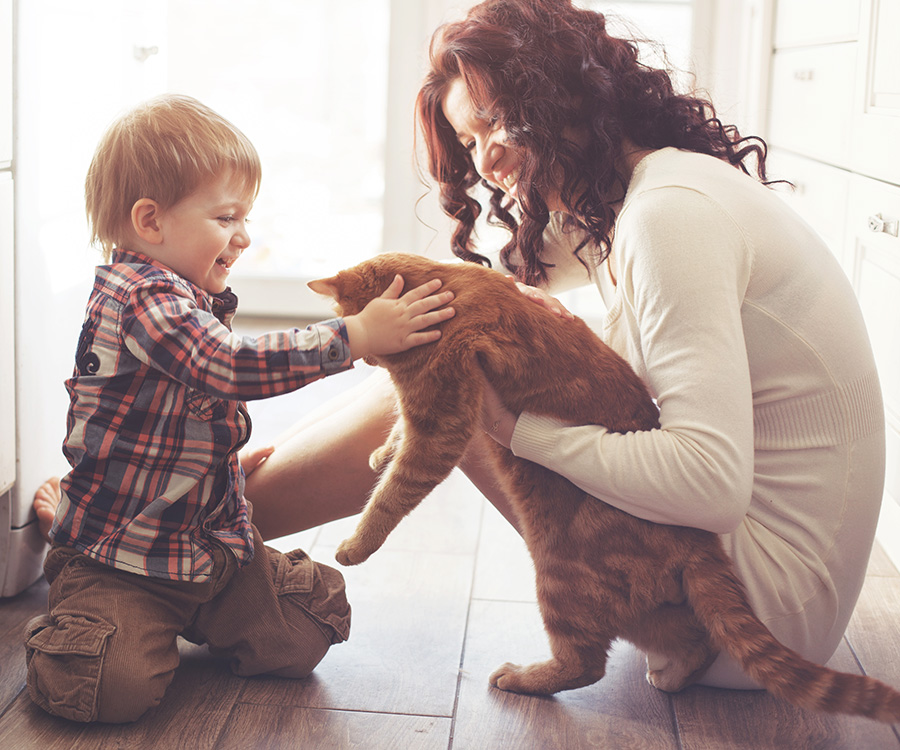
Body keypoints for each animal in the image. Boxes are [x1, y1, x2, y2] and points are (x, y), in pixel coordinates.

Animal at [310, 251, 900, 724]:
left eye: (352, 325)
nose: (361, 357)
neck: (443, 287)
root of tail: (700, 540)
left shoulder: (443, 424)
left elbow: (392, 493)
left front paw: (355, 545)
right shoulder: (428, 415)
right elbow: (394, 440)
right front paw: (380, 452)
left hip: (559, 575)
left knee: (585, 664)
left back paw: (520, 678)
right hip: (644, 606)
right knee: (694, 638)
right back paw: (674, 674)